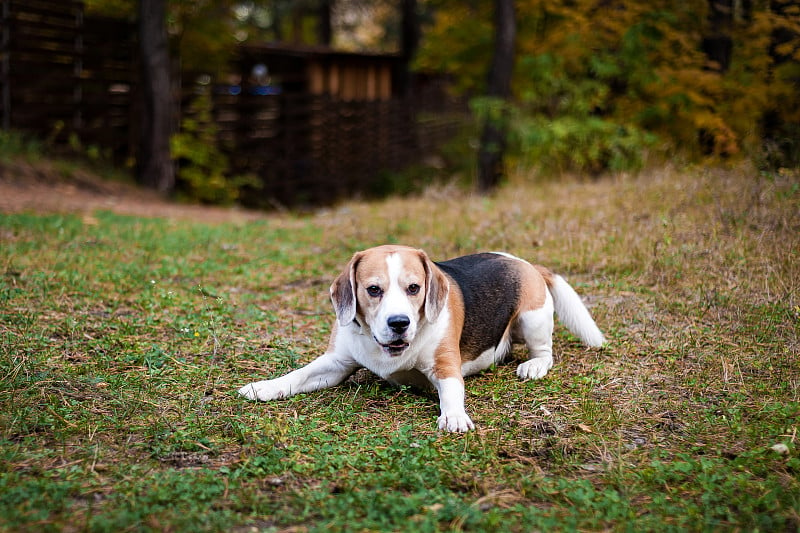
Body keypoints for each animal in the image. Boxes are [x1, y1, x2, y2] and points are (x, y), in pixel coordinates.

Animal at [241, 245, 604, 432]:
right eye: (374, 290)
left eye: (414, 288)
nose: (399, 323)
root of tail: (524, 262)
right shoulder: (335, 363)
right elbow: (297, 375)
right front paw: (263, 387)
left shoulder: (446, 367)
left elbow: (452, 393)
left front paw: (454, 416)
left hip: (533, 317)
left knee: (545, 352)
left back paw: (534, 366)